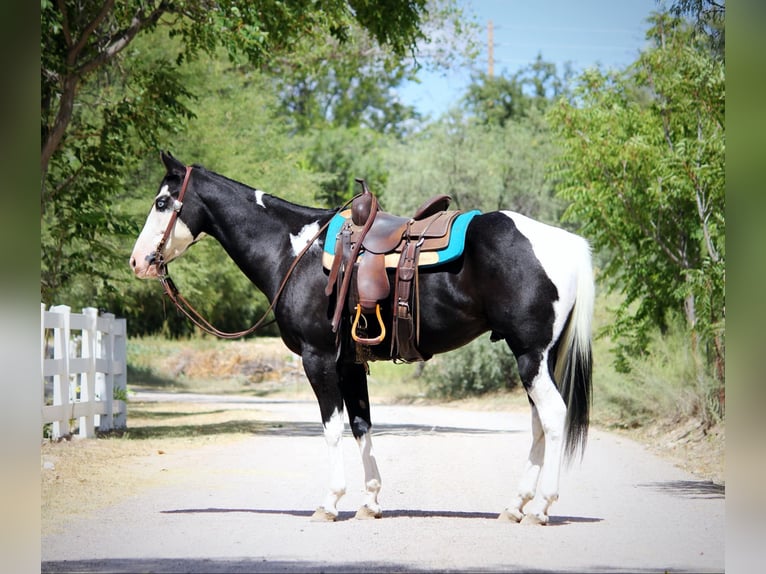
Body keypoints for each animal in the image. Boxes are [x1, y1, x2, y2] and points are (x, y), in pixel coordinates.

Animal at [130, 151, 594, 525]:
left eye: (161, 202)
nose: (137, 262)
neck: (295, 250)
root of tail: (566, 243)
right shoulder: (349, 362)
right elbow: (361, 425)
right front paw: (369, 502)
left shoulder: (318, 358)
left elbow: (332, 428)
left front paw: (330, 502)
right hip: (540, 358)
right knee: (538, 423)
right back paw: (515, 505)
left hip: (530, 355)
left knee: (553, 417)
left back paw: (541, 508)